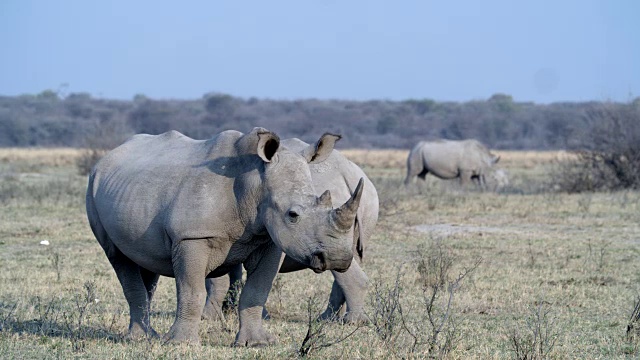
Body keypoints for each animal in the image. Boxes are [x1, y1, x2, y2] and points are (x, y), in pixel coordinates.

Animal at [202, 138, 378, 324]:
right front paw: (234, 310)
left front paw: (208, 317)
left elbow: (216, 278)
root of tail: (350, 174)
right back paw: (327, 319)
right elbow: (233, 274)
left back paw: (352, 322)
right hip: (366, 200)